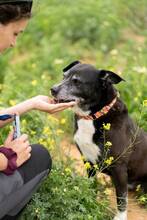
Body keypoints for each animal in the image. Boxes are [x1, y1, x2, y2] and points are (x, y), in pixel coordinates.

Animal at [50, 60, 147, 220]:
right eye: (64, 76)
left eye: (76, 81)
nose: (53, 89)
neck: (91, 117)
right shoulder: (87, 160)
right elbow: (90, 184)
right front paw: (87, 196)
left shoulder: (119, 167)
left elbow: (121, 198)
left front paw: (120, 217)